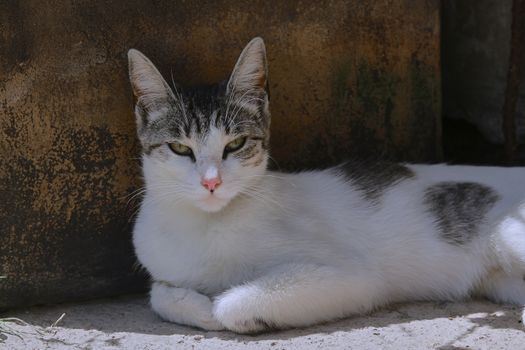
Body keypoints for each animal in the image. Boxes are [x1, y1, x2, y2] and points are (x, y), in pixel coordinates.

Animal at [128, 37, 524, 334]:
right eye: (180, 148)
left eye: (235, 144)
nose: (212, 181)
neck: (207, 226)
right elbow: (158, 293)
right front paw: (194, 304)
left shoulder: (352, 275)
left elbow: (231, 305)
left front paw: (226, 311)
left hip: (508, 236)